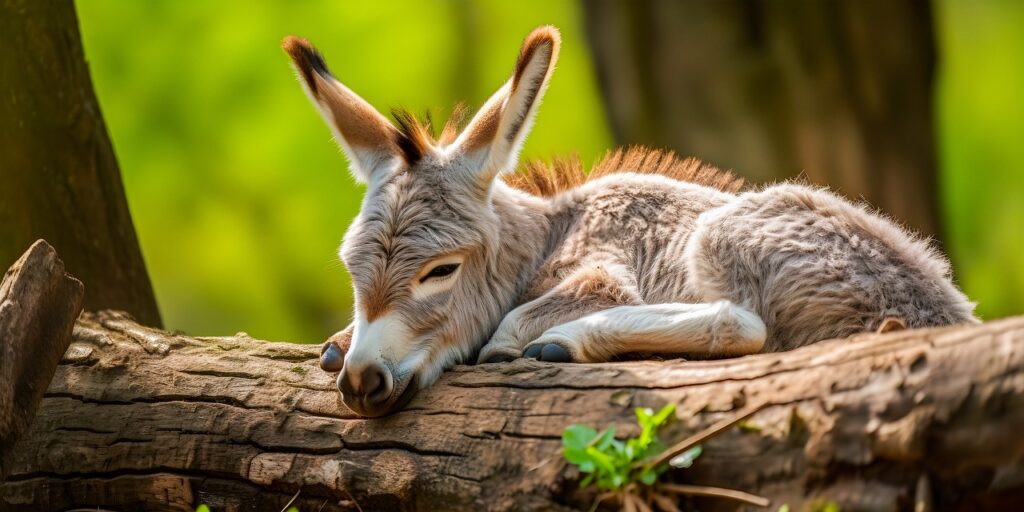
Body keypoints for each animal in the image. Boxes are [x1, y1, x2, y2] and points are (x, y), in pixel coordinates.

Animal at [281, 26, 976, 417]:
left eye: (441, 270)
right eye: (353, 270)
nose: (363, 381)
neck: (550, 236)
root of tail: (947, 314)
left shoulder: (605, 275)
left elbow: (516, 317)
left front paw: (522, 337)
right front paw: (338, 341)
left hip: (726, 237)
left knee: (745, 325)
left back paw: (562, 344)